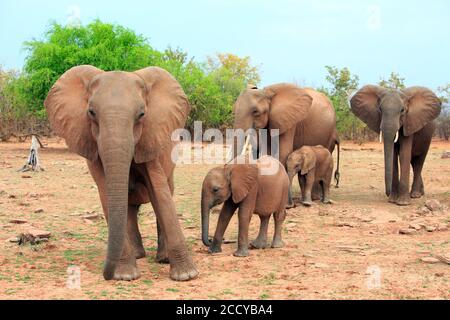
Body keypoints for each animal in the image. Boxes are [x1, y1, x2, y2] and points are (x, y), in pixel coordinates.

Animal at [44, 64, 198, 280]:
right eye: (91, 112)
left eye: (141, 114)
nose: (106, 275)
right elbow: (107, 192)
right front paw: (125, 276)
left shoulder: (150, 137)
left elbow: (160, 192)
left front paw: (186, 276)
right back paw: (138, 255)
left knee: (166, 190)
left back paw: (162, 258)